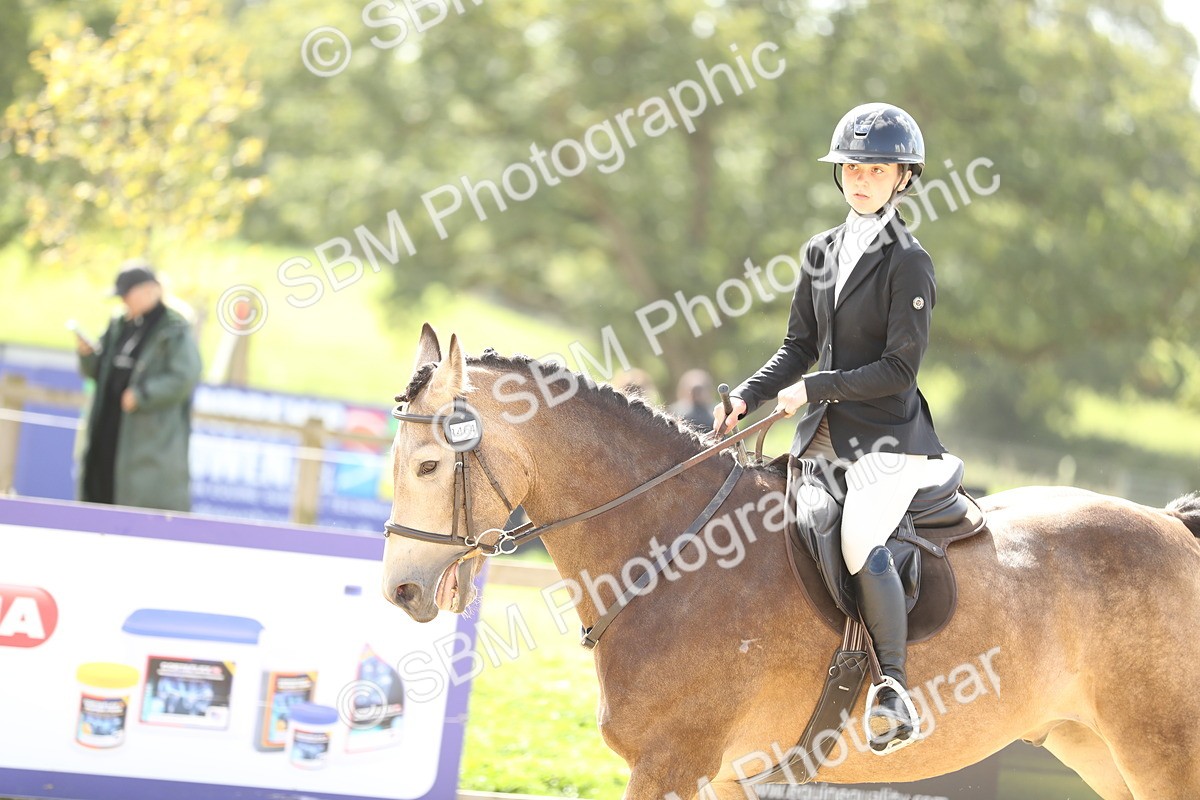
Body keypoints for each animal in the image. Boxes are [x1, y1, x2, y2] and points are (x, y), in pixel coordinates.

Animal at [381, 324, 1200, 800]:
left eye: (427, 465)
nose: (401, 591)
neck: (672, 548)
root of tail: (1172, 526)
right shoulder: (724, 777)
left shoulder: (671, 765)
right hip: (1096, 749)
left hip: (1163, 754)